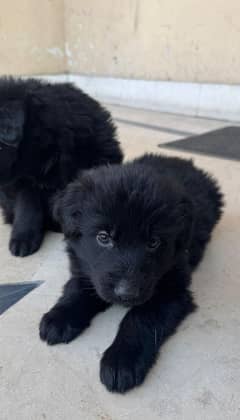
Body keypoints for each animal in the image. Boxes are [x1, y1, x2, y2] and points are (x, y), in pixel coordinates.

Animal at [39, 154, 223, 394]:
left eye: (154, 242)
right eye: (103, 237)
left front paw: (121, 361)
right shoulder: (85, 267)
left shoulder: (173, 290)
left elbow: (140, 318)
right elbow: (77, 288)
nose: (127, 293)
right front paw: (60, 317)